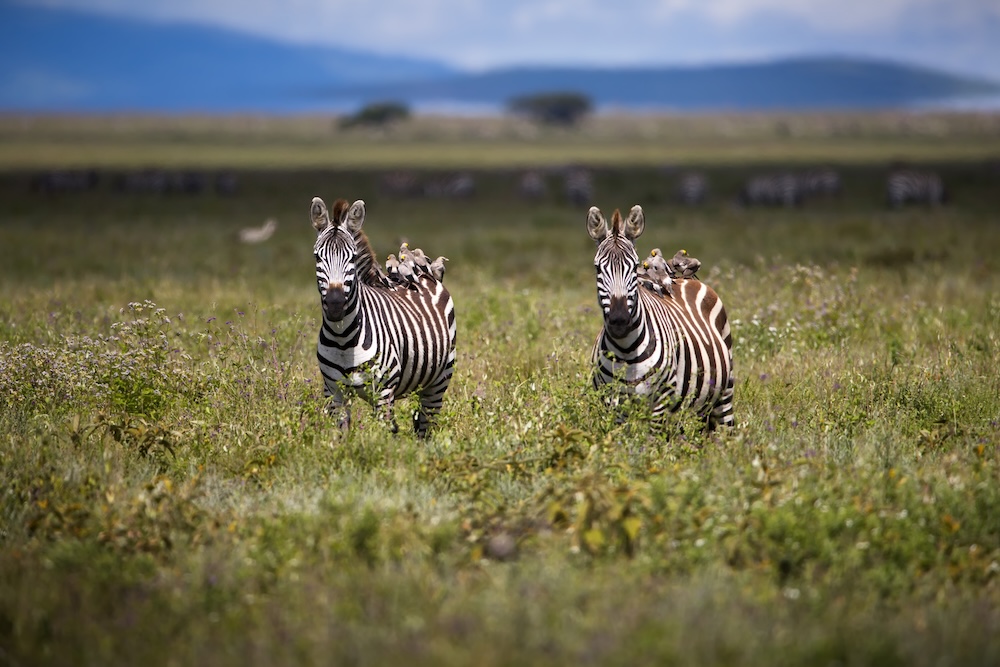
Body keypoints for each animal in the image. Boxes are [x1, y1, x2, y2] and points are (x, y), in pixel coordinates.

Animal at [311, 196, 457, 437]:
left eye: (352, 257)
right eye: (317, 257)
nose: (335, 304)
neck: (343, 339)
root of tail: (425, 274)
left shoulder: (383, 392)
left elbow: (383, 441)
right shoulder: (333, 392)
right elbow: (341, 438)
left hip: (439, 381)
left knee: (426, 427)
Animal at [587, 205, 734, 430]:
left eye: (634, 266)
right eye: (597, 268)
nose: (619, 321)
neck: (625, 349)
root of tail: (682, 279)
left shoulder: (660, 403)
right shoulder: (613, 405)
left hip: (725, 393)